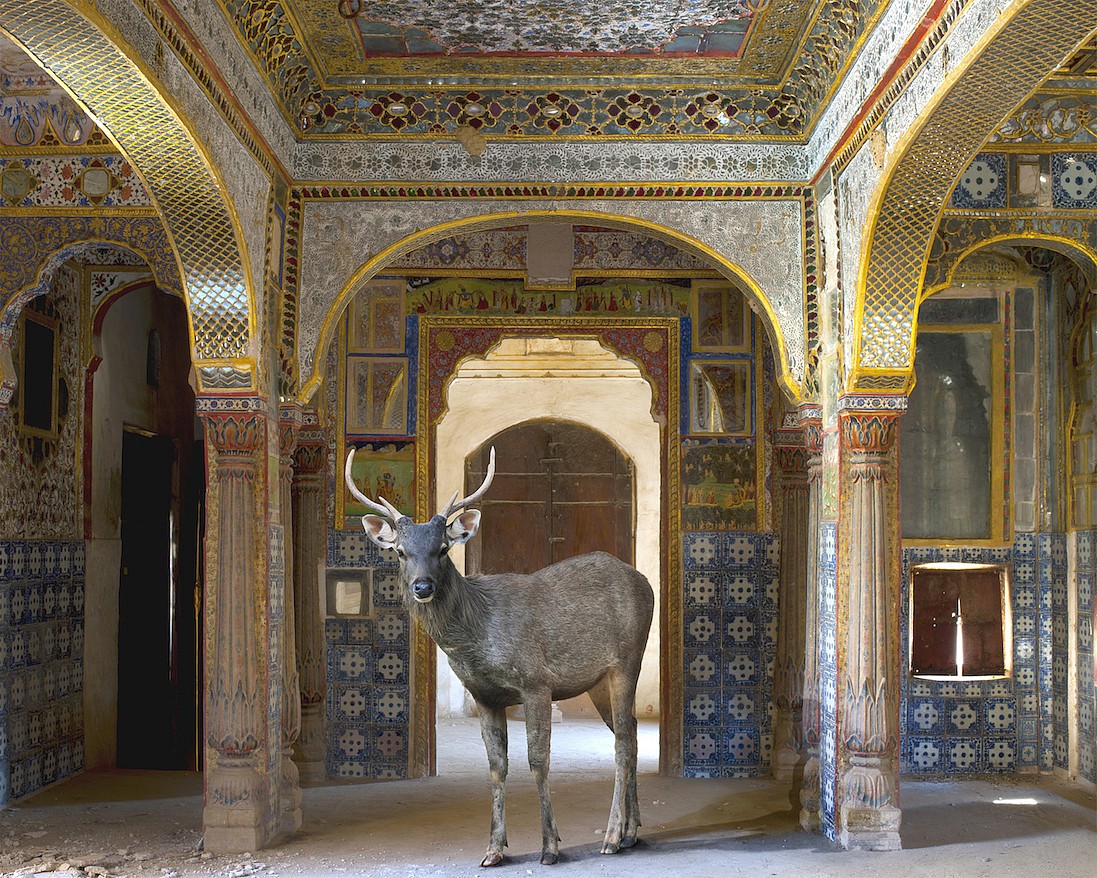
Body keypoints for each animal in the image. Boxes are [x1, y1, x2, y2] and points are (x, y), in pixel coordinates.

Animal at [342, 445, 649, 864]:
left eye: (443, 549)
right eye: (401, 552)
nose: (422, 586)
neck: (477, 638)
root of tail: (645, 582)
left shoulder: (536, 681)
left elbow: (538, 761)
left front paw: (550, 845)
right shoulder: (484, 695)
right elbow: (496, 767)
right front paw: (493, 848)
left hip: (628, 659)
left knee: (621, 744)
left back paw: (613, 836)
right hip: (597, 680)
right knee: (629, 731)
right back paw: (632, 831)